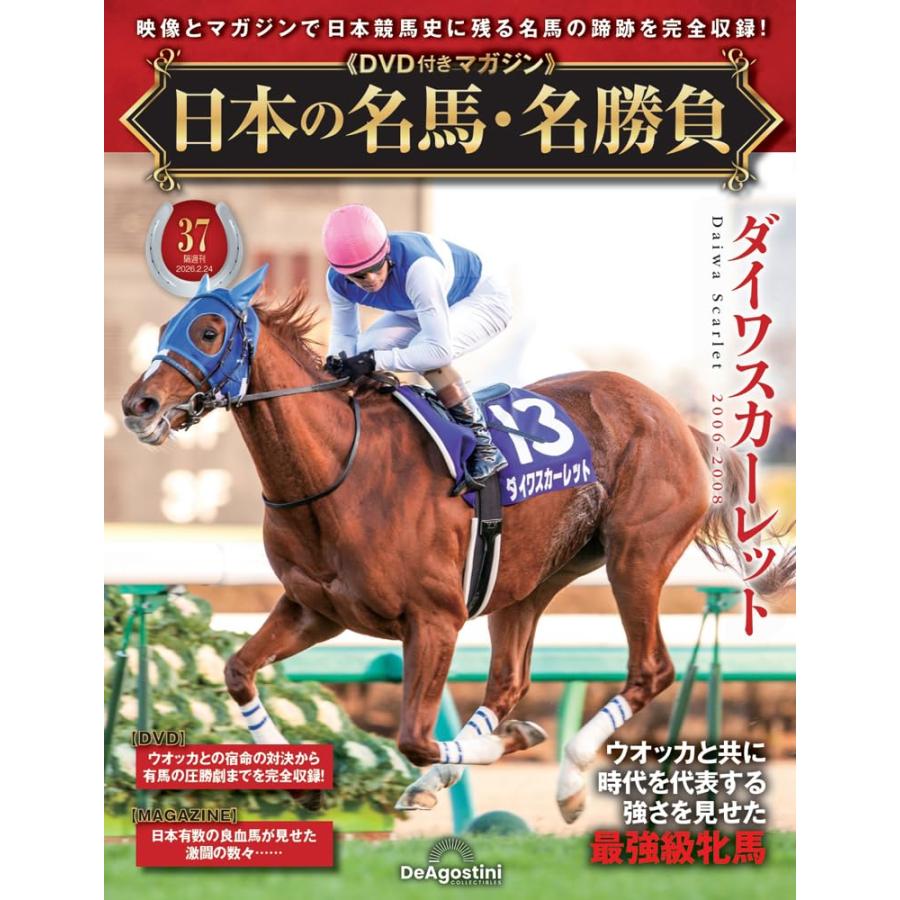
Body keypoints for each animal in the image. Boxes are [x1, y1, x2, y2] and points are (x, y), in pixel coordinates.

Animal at [121, 267, 794, 823]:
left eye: (209, 331)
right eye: (168, 327)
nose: (137, 404)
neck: (337, 471)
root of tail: (678, 419)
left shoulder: (434, 619)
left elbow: (413, 738)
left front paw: (510, 742)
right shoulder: (315, 609)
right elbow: (237, 672)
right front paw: (304, 787)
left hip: (636, 557)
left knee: (650, 669)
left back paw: (566, 781)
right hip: (528, 581)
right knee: (508, 682)